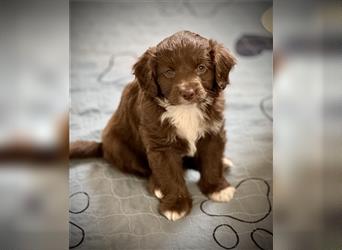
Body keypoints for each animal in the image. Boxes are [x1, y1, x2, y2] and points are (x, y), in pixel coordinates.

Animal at [69, 30, 235, 221]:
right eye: (169, 72)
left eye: (201, 68)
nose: (188, 93)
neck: (185, 110)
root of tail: (102, 146)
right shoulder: (161, 146)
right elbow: (169, 175)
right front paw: (176, 205)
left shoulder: (213, 133)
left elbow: (212, 161)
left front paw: (217, 188)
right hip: (120, 148)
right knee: (147, 171)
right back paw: (157, 186)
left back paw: (223, 162)